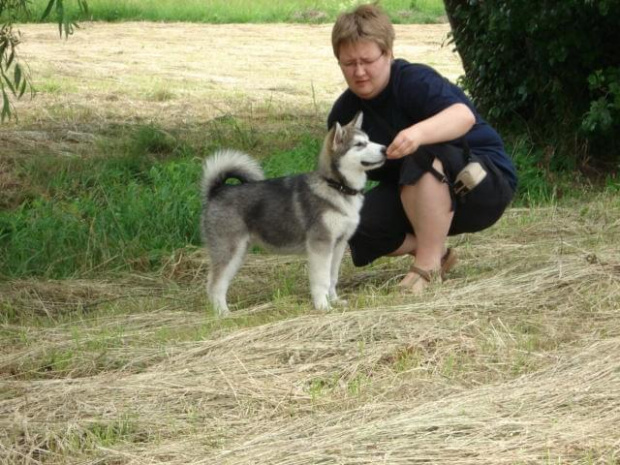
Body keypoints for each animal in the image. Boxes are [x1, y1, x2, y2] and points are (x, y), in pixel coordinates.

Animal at [201, 112, 386, 316]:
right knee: (214, 284)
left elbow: (332, 278)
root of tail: (218, 190)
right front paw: (322, 306)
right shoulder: (320, 245)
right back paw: (223, 314)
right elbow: (321, 280)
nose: (386, 148)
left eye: (369, 140)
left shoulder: (338, 245)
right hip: (229, 250)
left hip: (239, 252)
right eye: (359, 144)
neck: (336, 187)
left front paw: (335, 301)